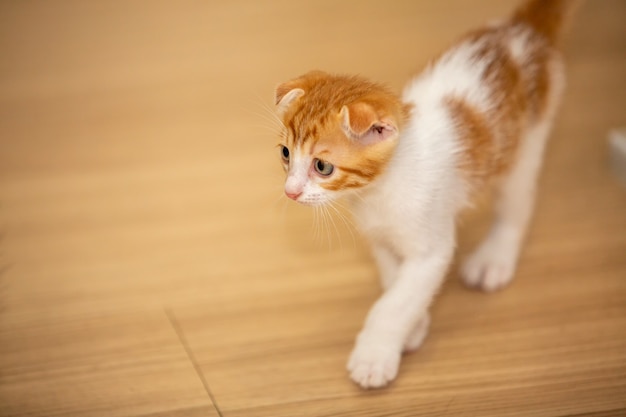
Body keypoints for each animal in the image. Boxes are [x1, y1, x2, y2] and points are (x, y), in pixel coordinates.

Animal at [276, 0, 576, 388]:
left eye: (322, 167)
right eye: (285, 154)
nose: (290, 191)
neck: (379, 192)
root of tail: (521, 31)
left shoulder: (431, 248)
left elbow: (394, 304)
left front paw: (374, 356)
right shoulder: (381, 240)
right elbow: (396, 285)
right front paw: (414, 327)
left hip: (524, 146)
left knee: (516, 204)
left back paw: (494, 258)